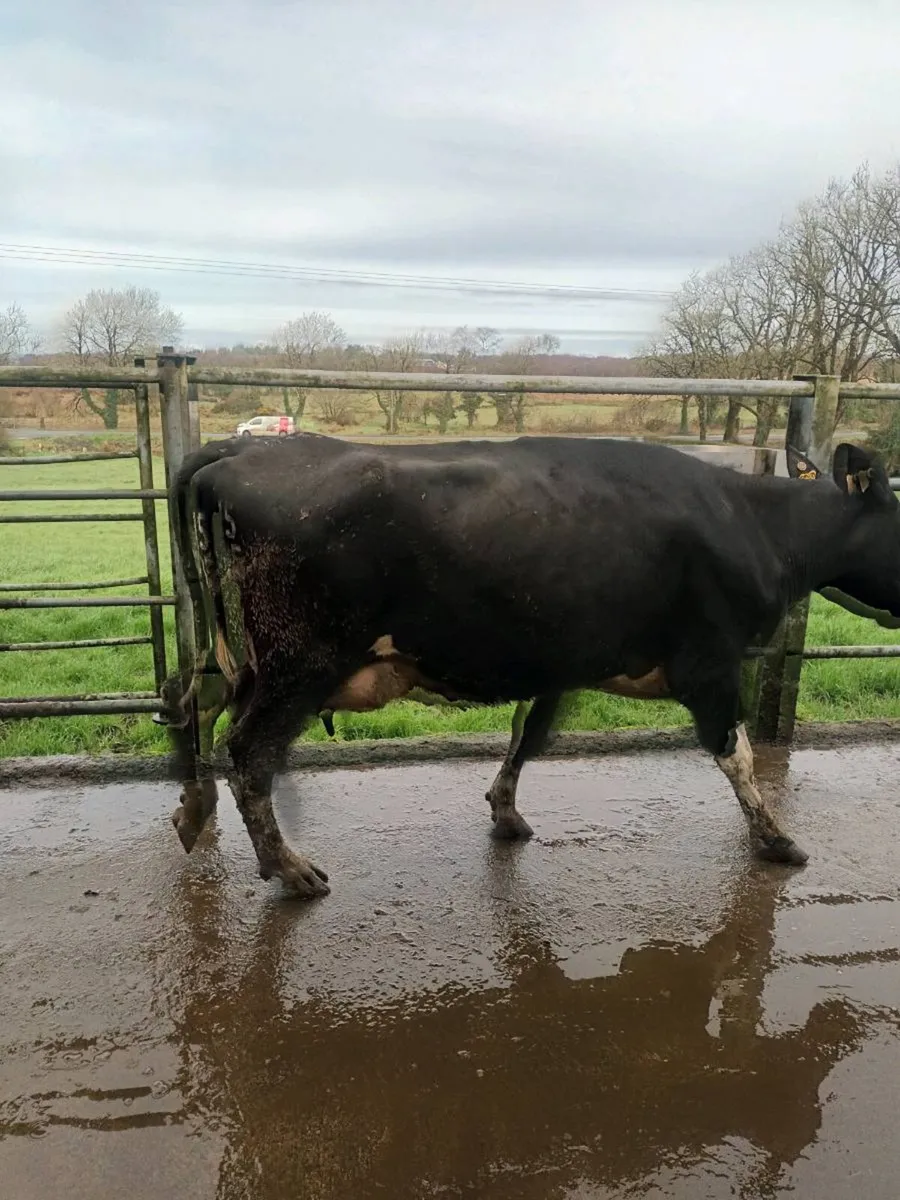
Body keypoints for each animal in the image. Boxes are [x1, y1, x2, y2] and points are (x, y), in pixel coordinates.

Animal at [163, 431, 900, 898]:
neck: (757, 524)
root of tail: (240, 447)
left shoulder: (560, 661)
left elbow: (530, 734)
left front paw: (505, 811)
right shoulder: (710, 664)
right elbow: (738, 757)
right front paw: (776, 841)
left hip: (241, 659)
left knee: (192, 705)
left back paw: (193, 811)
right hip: (299, 661)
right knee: (249, 752)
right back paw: (289, 869)